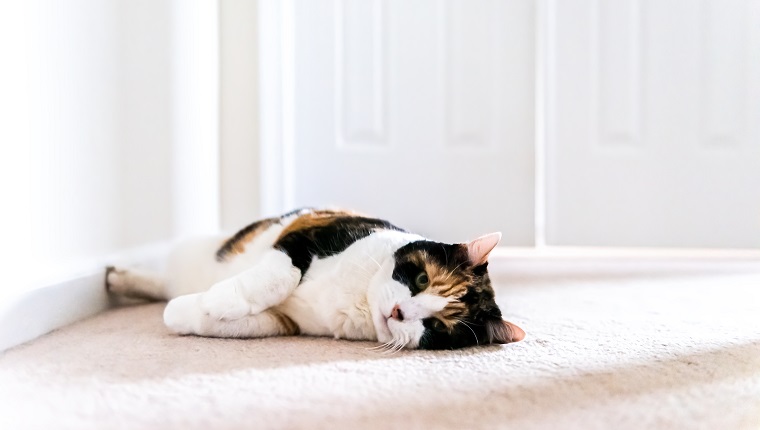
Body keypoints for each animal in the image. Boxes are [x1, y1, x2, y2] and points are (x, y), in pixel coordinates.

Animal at [105, 207, 524, 350]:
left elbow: (228, 323)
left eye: (436, 326)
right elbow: (279, 276)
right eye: (421, 279)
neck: (358, 296)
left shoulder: (287, 322)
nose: (399, 312)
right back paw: (118, 278)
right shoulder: (308, 234)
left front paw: (187, 312)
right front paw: (216, 300)